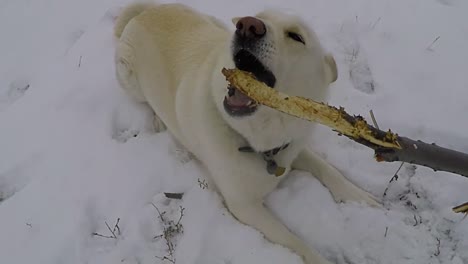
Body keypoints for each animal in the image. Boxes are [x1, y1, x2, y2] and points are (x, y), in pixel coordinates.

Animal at [113, 2, 380, 264]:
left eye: (296, 36)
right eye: (259, 16)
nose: (248, 25)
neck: (256, 138)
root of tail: (146, 11)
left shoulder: (290, 146)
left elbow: (328, 170)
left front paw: (361, 197)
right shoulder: (243, 206)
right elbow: (296, 242)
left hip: (214, 22)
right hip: (130, 79)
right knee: (144, 101)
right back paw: (158, 118)